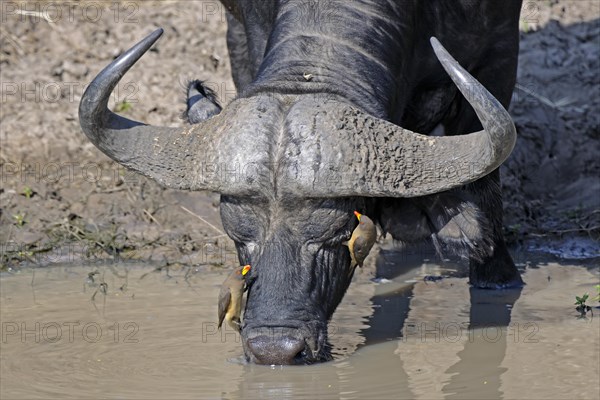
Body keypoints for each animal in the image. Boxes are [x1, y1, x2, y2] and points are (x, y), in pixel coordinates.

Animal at [81, 0, 524, 364]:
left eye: (336, 237)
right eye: (239, 237)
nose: (274, 349)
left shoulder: (499, 52)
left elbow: (486, 187)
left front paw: (497, 277)